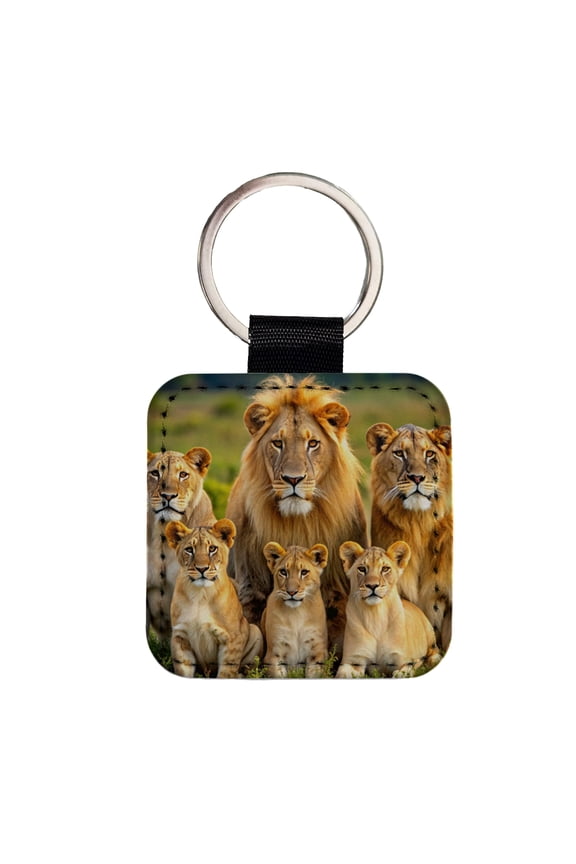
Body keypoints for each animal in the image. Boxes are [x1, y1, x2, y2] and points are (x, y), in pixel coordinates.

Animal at [165, 518, 263, 678]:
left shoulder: (232, 638)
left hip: (255, 630)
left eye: (212, 549)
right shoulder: (180, 636)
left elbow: (226, 672)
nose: (202, 568)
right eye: (189, 550)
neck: (200, 595)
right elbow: (182, 670)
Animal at [225, 375, 367, 650]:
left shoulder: (338, 590)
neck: (297, 523)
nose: (293, 479)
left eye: (312, 443)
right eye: (277, 443)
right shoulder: (251, 587)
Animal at [261, 542, 329, 678]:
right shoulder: (273, 655)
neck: (296, 613)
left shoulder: (317, 653)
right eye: (283, 572)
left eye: (304, 572)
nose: (291, 592)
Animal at [336, 541, 441, 678]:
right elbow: (344, 675)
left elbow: (403, 673)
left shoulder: (402, 659)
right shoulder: (352, 661)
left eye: (385, 569)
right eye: (362, 569)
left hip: (429, 634)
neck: (375, 614)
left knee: (434, 651)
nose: (372, 585)